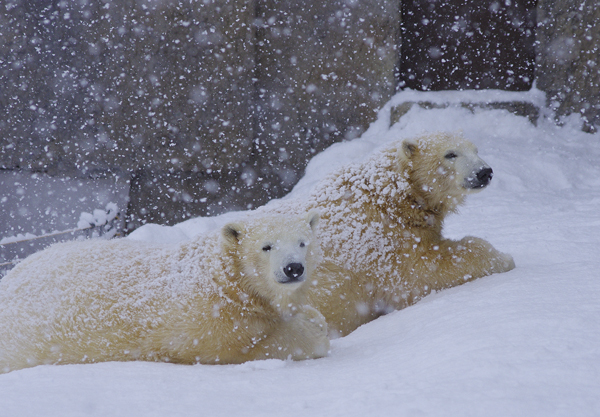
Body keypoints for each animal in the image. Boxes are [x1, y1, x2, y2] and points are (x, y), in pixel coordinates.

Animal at [0, 211, 328, 374]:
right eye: (266, 246)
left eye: (302, 242)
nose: (293, 268)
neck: (225, 281)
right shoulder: (206, 324)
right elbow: (251, 346)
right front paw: (312, 329)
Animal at [262, 132, 516, 336]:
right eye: (450, 154)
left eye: (476, 150)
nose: (484, 172)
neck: (393, 196)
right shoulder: (382, 241)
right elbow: (424, 271)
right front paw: (503, 258)